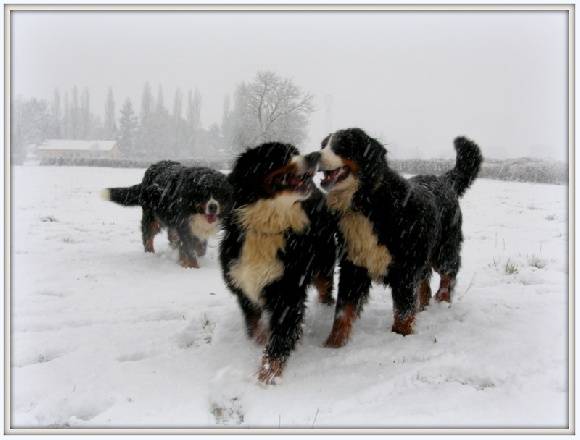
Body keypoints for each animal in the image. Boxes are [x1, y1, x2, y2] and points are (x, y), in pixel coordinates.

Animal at [102, 160, 232, 268]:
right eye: (204, 194)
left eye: (219, 194)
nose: (213, 207)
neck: (195, 211)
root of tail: (152, 167)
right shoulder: (184, 226)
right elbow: (189, 251)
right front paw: (193, 267)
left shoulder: (197, 228)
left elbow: (200, 248)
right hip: (151, 218)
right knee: (148, 238)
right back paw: (150, 255)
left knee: (171, 237)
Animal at [219, 143, 337, 384]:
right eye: (281, 155)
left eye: (297, 151)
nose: (314, 156)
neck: (266, 228)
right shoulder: (243, 284)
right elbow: (254, 326)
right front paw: (261, 339)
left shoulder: (288, 291)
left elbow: (279, 338)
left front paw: (268, 375)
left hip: (323, 263)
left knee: (325, 288)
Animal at [316, 128, 482, 347]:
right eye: (323, 145)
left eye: (342, 145)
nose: (314, 156)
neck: (365, 203)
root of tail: (443, 180)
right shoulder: (354, 264)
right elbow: (343, 311)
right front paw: (333, 344)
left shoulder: (405, 268)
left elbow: (403, 310)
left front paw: (401, 336)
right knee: (424, 285)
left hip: (443, 250)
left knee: (449, 274)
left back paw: (443, 301)